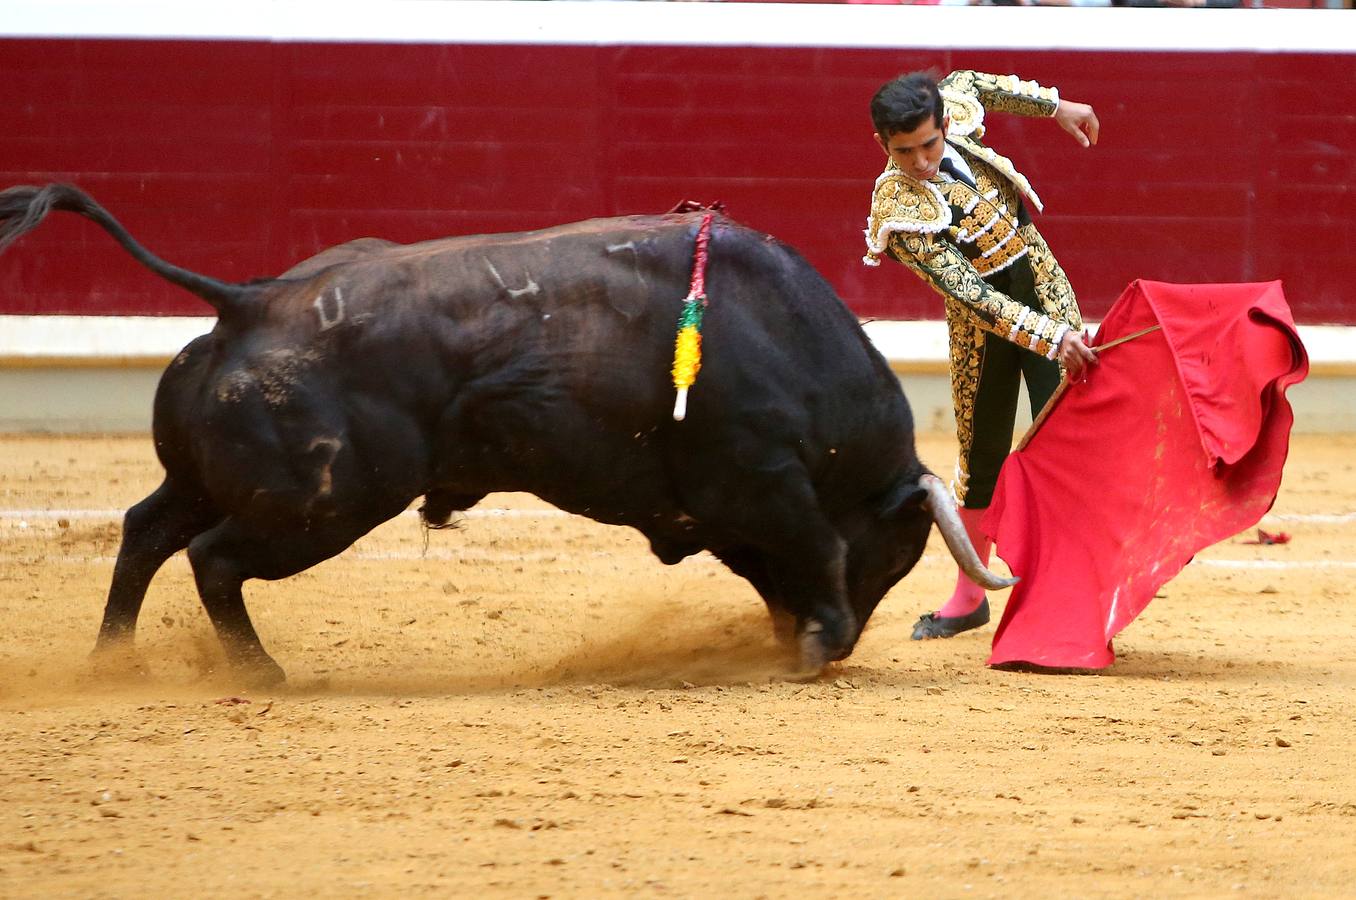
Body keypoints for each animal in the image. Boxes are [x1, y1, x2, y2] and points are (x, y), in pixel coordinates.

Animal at [0, 185, 1014, 685]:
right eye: (898, 553)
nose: (846, 643)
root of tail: (250, 303)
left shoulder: (737, 513)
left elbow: (787, 567)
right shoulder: (766, 486)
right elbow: (814, 550)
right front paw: (815, 647)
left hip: (219, 481)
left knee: (146, 530)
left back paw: (113, 662)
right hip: (323, 504)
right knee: (211, 557)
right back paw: (260, 673)